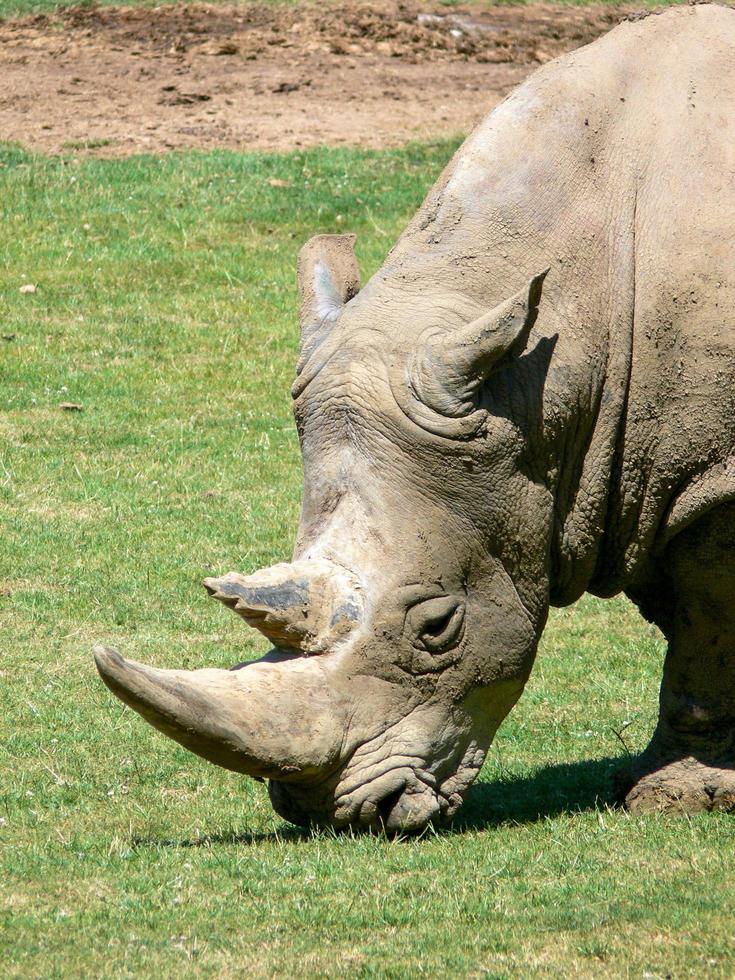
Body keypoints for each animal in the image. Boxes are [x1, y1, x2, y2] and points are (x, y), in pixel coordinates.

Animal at [95, 3, 735, 832]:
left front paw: (676, 796)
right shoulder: (645, 468)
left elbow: (706, 621)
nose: (337, 816)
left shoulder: (705, 474)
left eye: (438, 628)